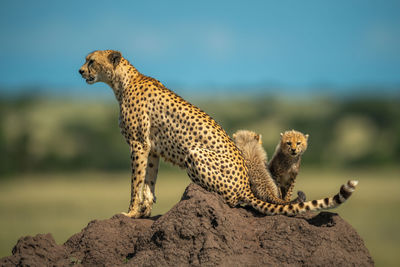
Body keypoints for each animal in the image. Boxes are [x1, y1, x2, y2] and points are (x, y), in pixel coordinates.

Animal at [79, 49, 360, 218]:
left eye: (91, 60)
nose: (80, 71)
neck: (121, 81)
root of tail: (247, 185)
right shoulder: (151, 148)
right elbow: (148, 181)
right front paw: (143, 212)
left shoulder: (138, 144)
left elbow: (135, 182)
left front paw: (130, 212)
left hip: (195, 153)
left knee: (232, 200)